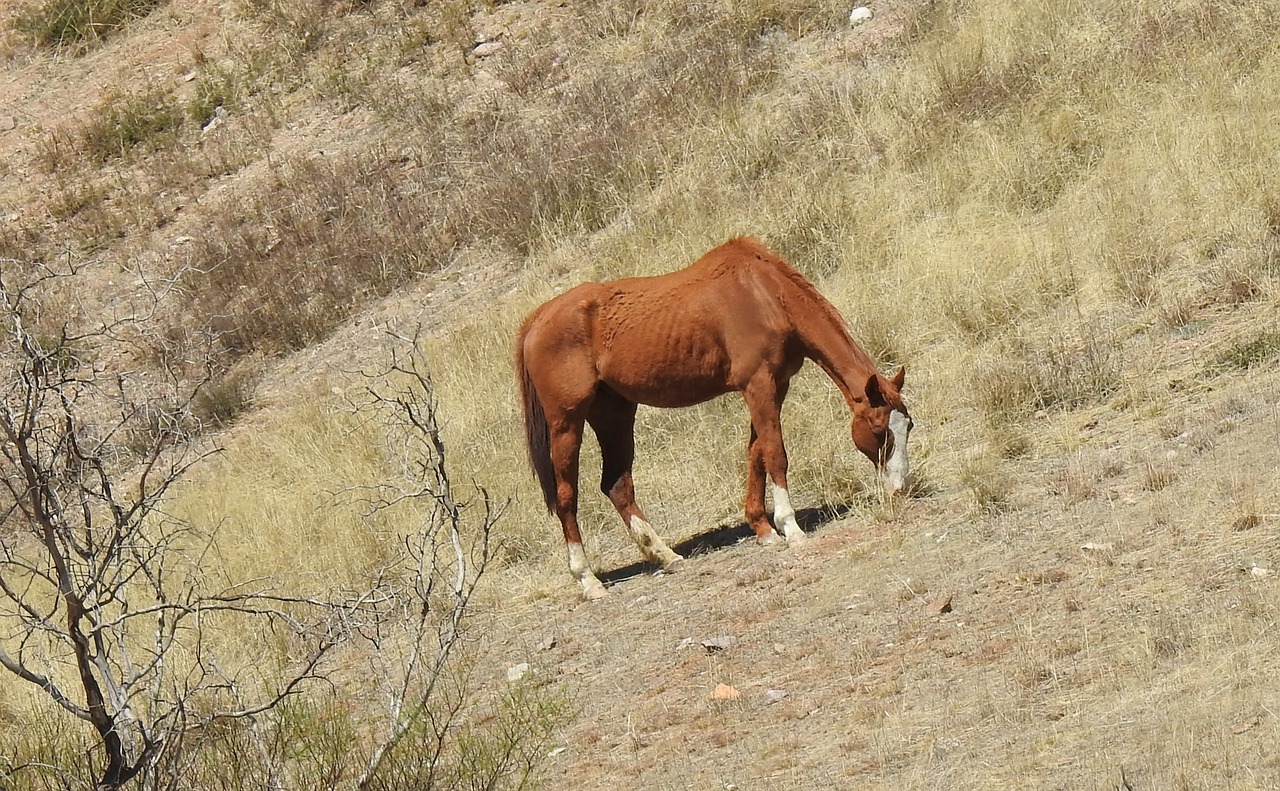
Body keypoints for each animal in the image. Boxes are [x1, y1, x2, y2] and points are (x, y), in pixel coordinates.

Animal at [512, 235, 911, 596]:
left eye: (907, 426)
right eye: (880, 430)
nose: (901, 487)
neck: (763, 294)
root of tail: (535, 320)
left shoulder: (774, 387)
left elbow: (757, 454)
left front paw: (763, 529)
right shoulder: (759, 385)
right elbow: (776, 454)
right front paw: (790, 528)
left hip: (614, 414)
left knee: (617, 485)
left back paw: (667, 556)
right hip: (567, 424)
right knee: (567, 495)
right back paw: (589, 580)